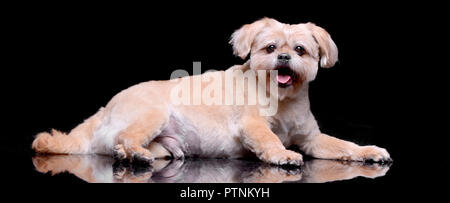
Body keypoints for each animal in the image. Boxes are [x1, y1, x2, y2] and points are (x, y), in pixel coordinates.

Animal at [32, 17, 390, 166]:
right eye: (271, 48)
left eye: (300, 50)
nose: (284, 58)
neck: (283, 101)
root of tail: (105, 108)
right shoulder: (252, 126)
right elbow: (270, 139)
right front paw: (283, 155)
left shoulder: (313, 139)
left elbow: (344, 146)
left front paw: (367, 151)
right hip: (152, 114)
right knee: (124, 138)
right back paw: (134, 154)